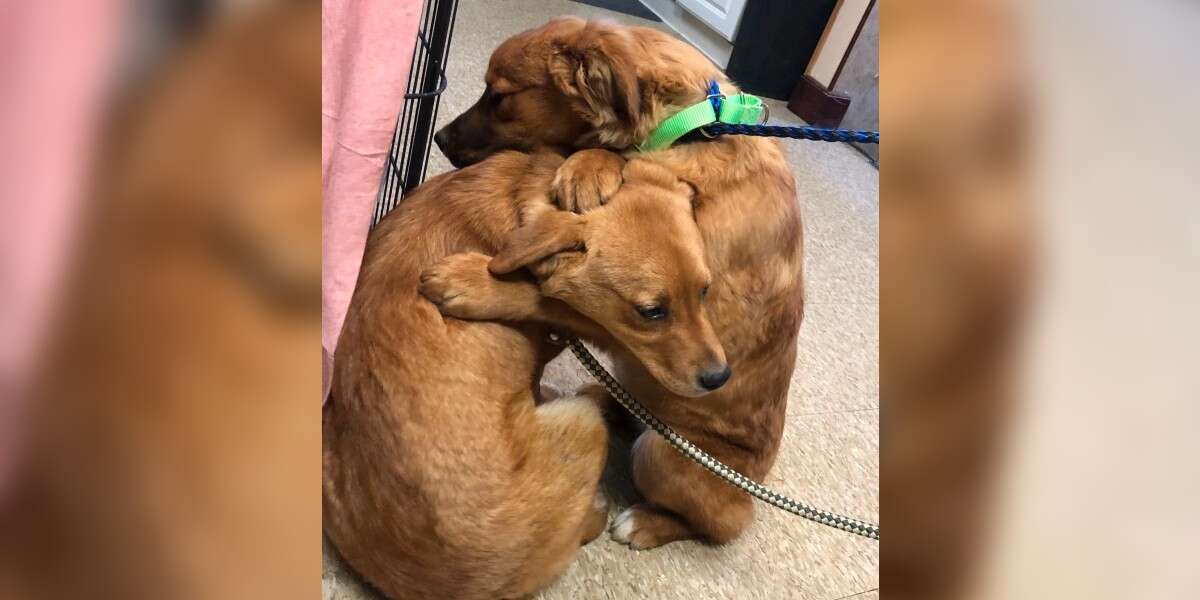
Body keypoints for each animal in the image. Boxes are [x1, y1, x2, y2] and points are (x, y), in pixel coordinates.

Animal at [324, 151, 724, 600]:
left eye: (705, 291)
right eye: (651, 311)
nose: (720, 377)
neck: (517, 201)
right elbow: (552, 306)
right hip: (584, 422)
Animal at [434, 16, 806, 549]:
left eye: (499, 96)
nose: (439, 137)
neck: (693, 128)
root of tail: (751, 485)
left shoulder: (665, 317)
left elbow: (544, 296)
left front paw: (475, 283)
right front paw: (592, 165)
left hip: (662, 455)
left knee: (722, 524)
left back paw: (648, 522)